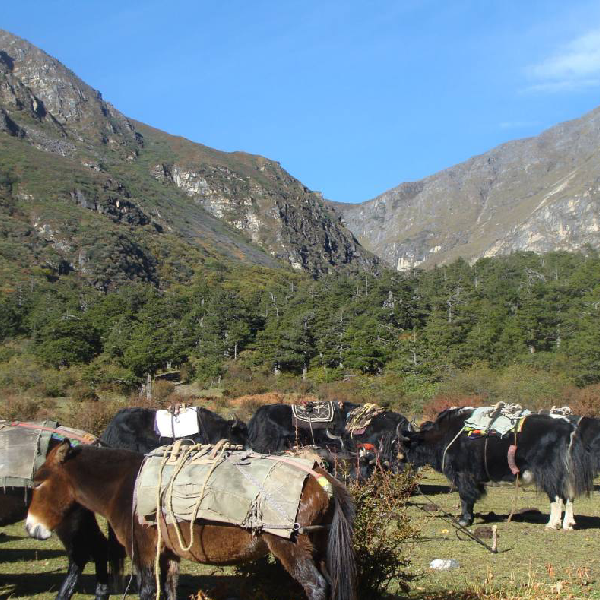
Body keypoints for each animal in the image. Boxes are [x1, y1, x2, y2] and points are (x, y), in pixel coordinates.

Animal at [25, 440, 356, 600]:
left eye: (38, 483)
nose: (31, 527)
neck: (126, 487)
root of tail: (321, 476)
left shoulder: (143, 553)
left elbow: (147, 591)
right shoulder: (168, 556)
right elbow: (170, 591)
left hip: (291, 548)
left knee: (316, 587)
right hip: (318, 547)